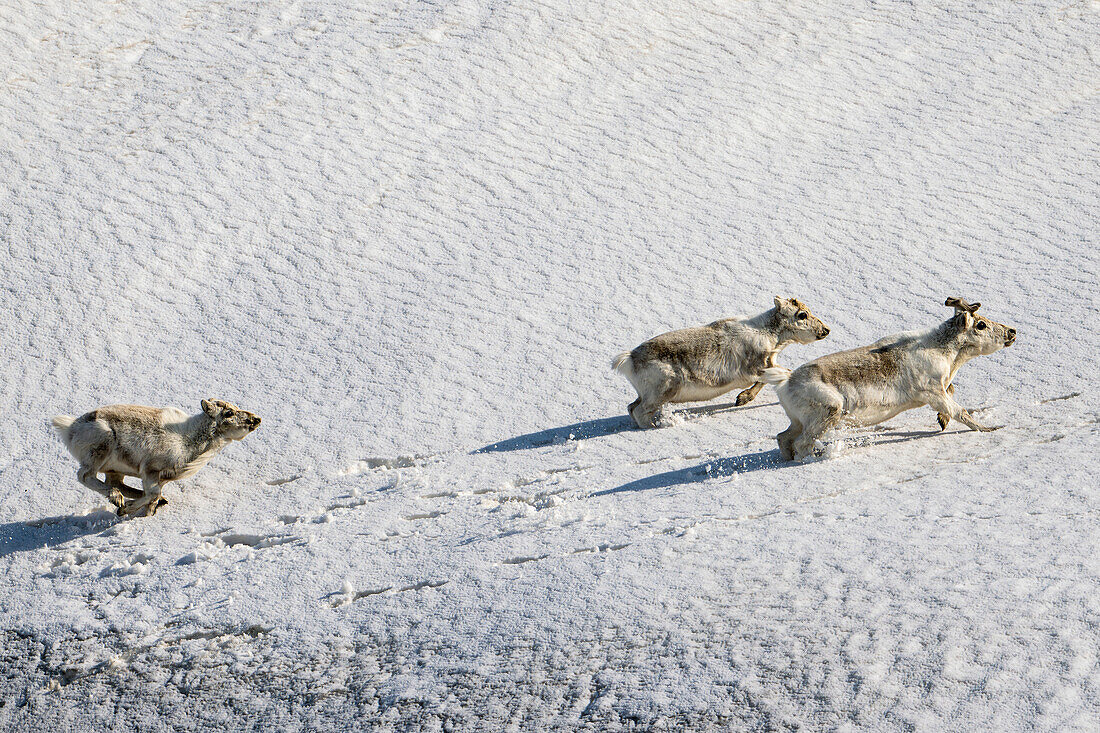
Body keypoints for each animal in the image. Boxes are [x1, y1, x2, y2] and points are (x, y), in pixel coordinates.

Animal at [54, 400, 262, 512]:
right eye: (229, 412)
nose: (257, 419)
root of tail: (70, 429)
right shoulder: (151, 470)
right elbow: (153, 493)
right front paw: (126, 510)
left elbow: (154, 494)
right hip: (101, 447)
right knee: (85, 475)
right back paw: (117, 499)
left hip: (114, 468)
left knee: (116, 482)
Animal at [611, 294, 831, 424]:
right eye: (802, 314)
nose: (826, 330)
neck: (772, 336)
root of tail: (629, 359)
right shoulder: (753, 368)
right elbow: (779, 375)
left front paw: (742, 398)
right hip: (662, 390)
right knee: (640, 412)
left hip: (646, 393)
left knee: (631, 407)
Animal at [765, 294, 1012, 457]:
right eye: (981, 324)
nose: (1012, 331)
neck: (947, 354)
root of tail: (784, 382)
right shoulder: (932, 392)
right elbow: (960, 411)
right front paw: (990, 428)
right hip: (828, 412)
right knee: (801, 443)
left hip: (798, 420)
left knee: (783, 437)